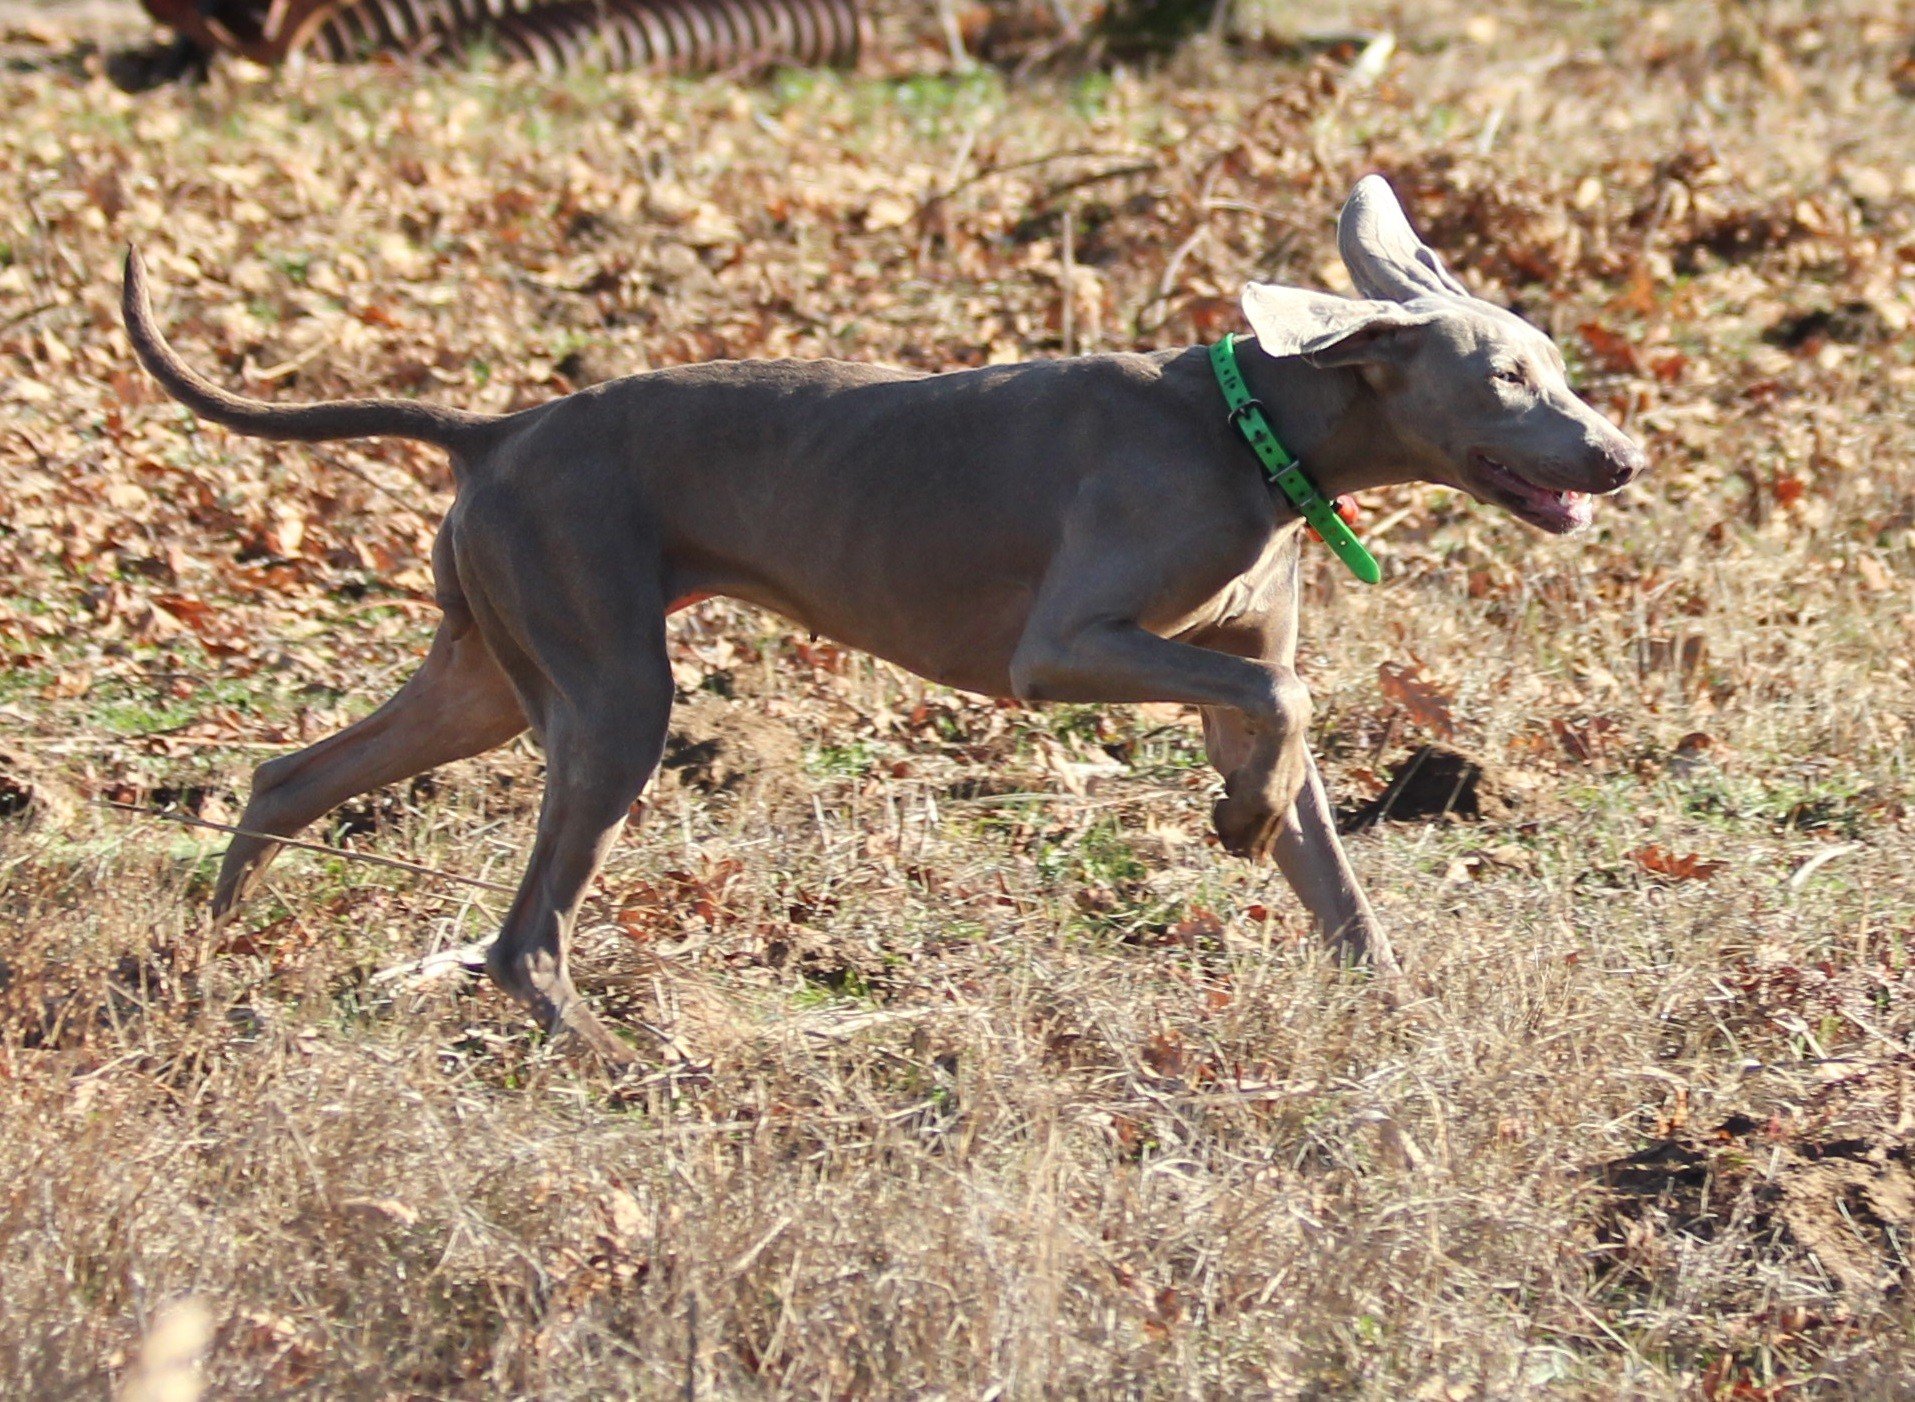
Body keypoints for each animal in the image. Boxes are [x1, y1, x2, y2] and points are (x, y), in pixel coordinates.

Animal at [119, 175, 1646, 1057]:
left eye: (1555, 365)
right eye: (1509, 376)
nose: (1620, 457)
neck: (1245, 425)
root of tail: (495, 429)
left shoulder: (1213, 658)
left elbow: (1319, 844)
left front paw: (1383, 992)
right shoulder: (1062, 650)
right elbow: (1284, 699)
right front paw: (1237, 820)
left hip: (488, 676)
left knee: (291, 773)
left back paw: (201, 959)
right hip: (608, 690)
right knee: (521, 932)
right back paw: (621, 1060)